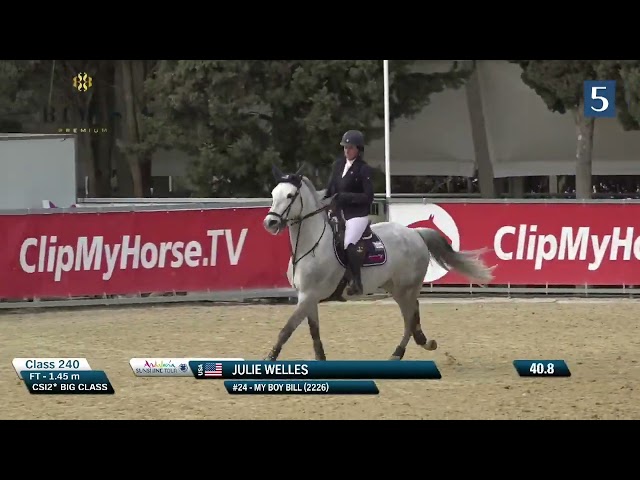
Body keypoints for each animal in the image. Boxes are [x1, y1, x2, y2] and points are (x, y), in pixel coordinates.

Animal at [262, 164, 495, 361]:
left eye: (290, 195)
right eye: (273, 194)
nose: (270, 223)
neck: (310, 245)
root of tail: (415, 233)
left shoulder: (309, 296)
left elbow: (286, 330)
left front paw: (270, 358)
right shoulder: (307, 298)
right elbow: (314, 332)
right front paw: (321, 359)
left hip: (404, 289)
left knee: (409, 318)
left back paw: (398, 352)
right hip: (396, 287)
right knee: (413, 312)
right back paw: (421, 341)